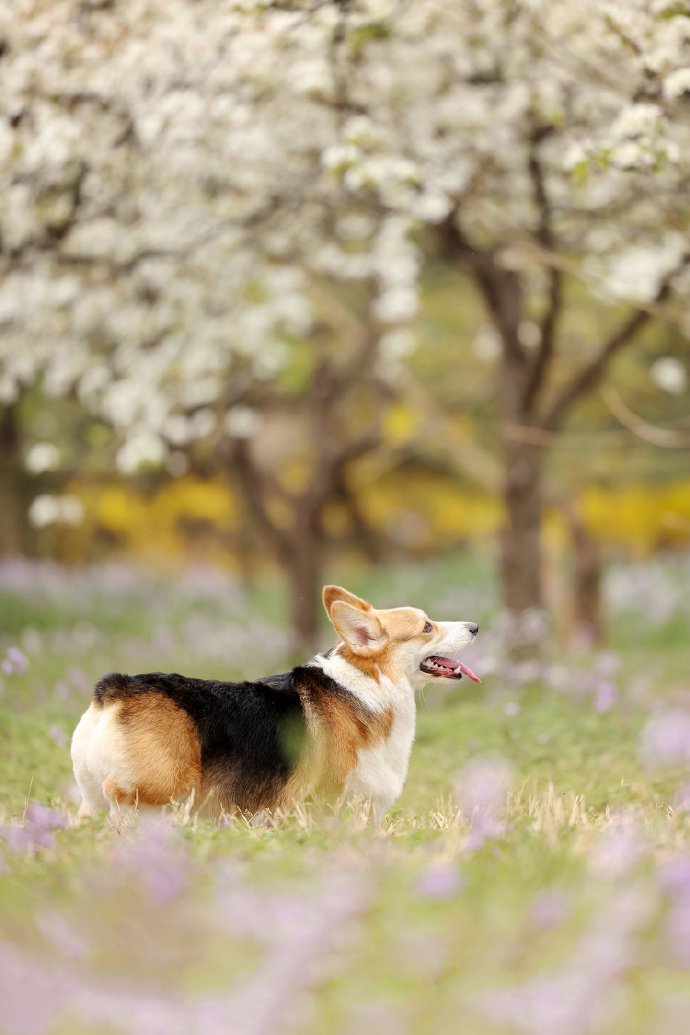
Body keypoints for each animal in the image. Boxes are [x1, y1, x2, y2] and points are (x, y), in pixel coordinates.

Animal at [71, 587, 479, 819]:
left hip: (91, 801)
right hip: (161, 795)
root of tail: (117, 688)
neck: (371, 684)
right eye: (426, 626)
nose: (475, 627)